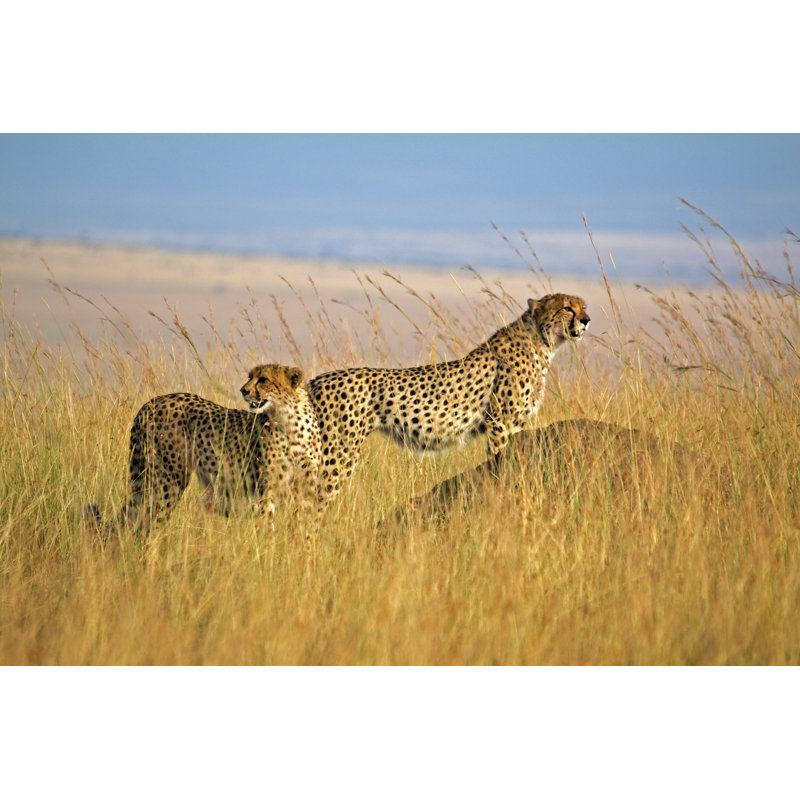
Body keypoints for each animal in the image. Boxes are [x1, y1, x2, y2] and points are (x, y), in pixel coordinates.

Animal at [87, 364, 313, 538]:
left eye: (263, 379)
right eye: (250, 377)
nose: (243, 390)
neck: (290, 421)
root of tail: (151, 402)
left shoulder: (303, 488)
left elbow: (306, 525)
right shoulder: (266, 490)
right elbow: (269, 524)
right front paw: (268, 552)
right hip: (168, 480)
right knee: (150, 521)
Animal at [243, 293, 589, 510]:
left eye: (582, 306)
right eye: (567, 308)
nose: (586, 320)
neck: (542, 342)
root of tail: (315, 380)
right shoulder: (501, 423)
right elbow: (499, 459)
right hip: (336, 453)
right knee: (310, 498)